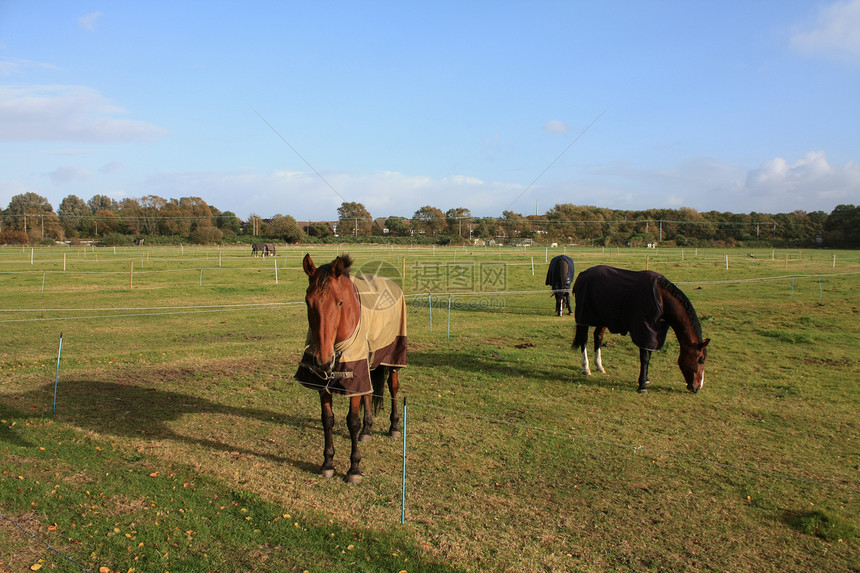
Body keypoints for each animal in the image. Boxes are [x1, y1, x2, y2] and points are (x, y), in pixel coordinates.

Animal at [292, 255, 406, 482]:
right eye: (308, 302)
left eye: (340, 302)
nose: (323, 359)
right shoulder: (325, 383)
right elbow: (327, 420)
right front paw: (327, 463)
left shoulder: (354, 377)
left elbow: (352, 421)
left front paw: (354, 468)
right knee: (369, 393)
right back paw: (367, 431)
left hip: (393, 357)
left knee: (393, 388)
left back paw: (394, 427)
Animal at [572, 264, 712, 392]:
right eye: (701, 360)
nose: (698, 387)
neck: (660, 297)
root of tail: (583, 275)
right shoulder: (645, 329)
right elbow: (645, 357)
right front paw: (642, 386)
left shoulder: (654, 332)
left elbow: (649, 354)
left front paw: (646, 379)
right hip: (584, 318)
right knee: (584, 340)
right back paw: (586, 368)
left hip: (603, 318)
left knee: (598, 337)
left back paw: (599, 366)